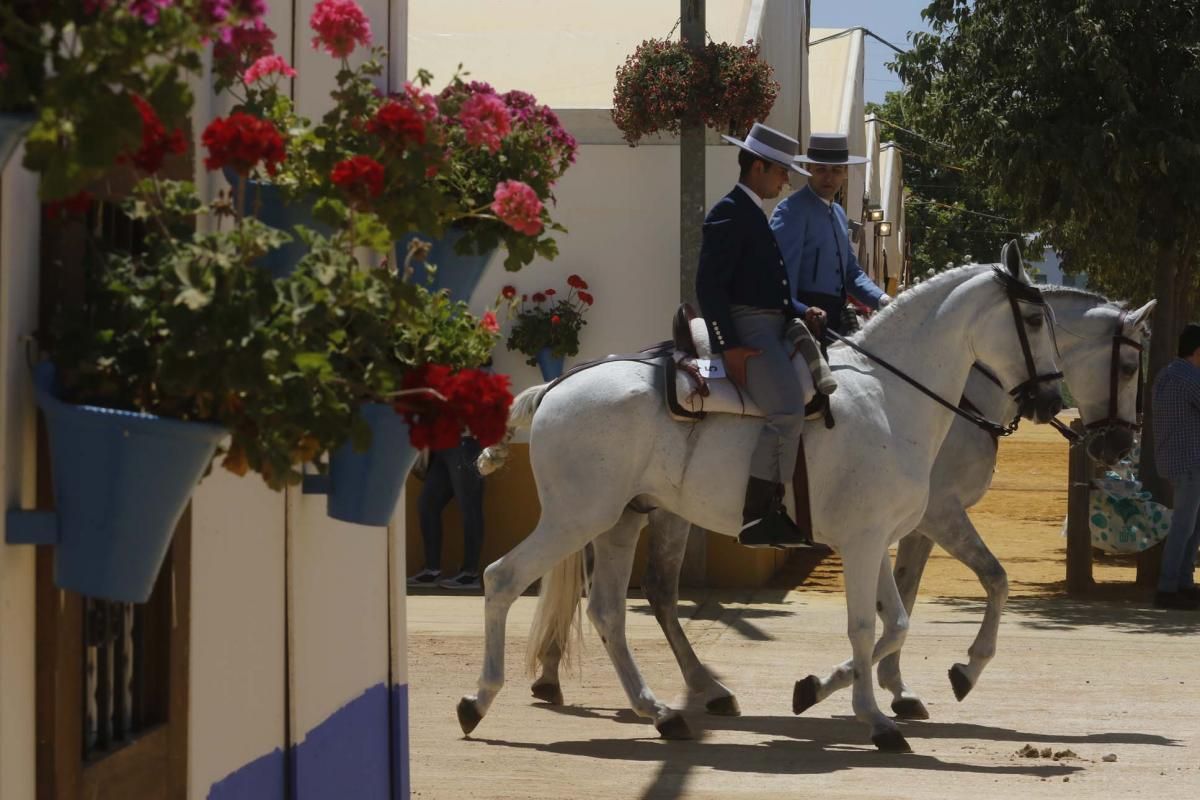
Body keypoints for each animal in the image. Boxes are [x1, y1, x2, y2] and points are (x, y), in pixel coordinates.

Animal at [456, 256, 1060, 753]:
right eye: (1033, 320)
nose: (1051, 398)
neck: (888, 397)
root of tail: (556, 387)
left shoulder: (875, 540)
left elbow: (897, 624)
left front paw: (814, 689)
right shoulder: (866, 542)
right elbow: (866, 627)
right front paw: (877, 720)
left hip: (620, 522)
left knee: (608, 609)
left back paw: (661, 713)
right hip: (576, 518)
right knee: (502, 578)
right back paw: (477, 701)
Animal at [528, 291, 1152, 729]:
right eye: (1127, 368)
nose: (1118, 444)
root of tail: (567, 381)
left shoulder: (906, 525)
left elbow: (900, 602)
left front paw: (880, 688)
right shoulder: (934, 516)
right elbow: (987, 582)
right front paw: (951, 673)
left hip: (646, 510)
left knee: (640, 593)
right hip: (612, 512)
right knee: (628, 592)